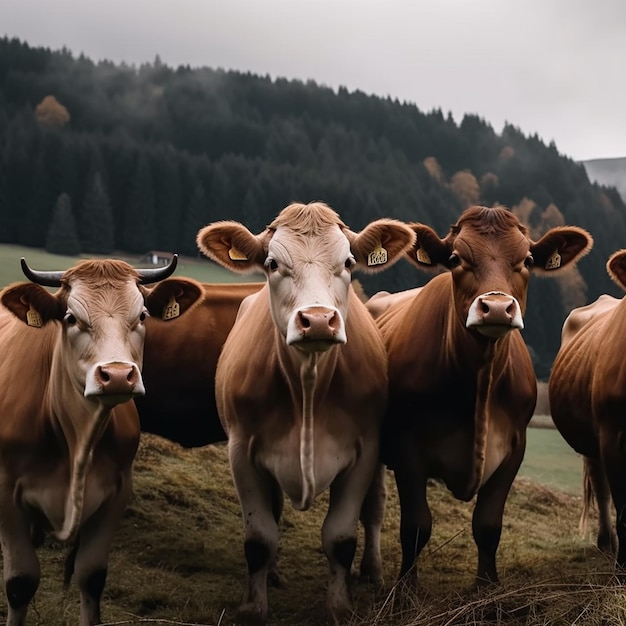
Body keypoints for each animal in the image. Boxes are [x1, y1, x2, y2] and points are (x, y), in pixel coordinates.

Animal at [0, 255, 200, 624]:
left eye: (142, 316)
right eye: (70, 318)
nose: (118, 375)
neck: (78, 439)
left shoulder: (116, 493)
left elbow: (91, 577)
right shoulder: (7, 494)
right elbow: (20, 583)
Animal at [195, 201, 416, 624]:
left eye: (348, 262)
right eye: (271, 263)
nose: (317, 320)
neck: (308, 391)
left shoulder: (364, 452)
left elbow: (341, 538)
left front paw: (339, 606)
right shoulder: (241, 451)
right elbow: (259, 538)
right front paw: (255, 606)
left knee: (375, 508)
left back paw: (373, 572)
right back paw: (274, 573)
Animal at [368, 206, 592, 596]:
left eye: (527, 260)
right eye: (456, 258)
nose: (498, 308)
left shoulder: (514, 447)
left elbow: (488, 526)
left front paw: (487, 590)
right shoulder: (408, 446)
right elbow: (416, 526)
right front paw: (406, 593)